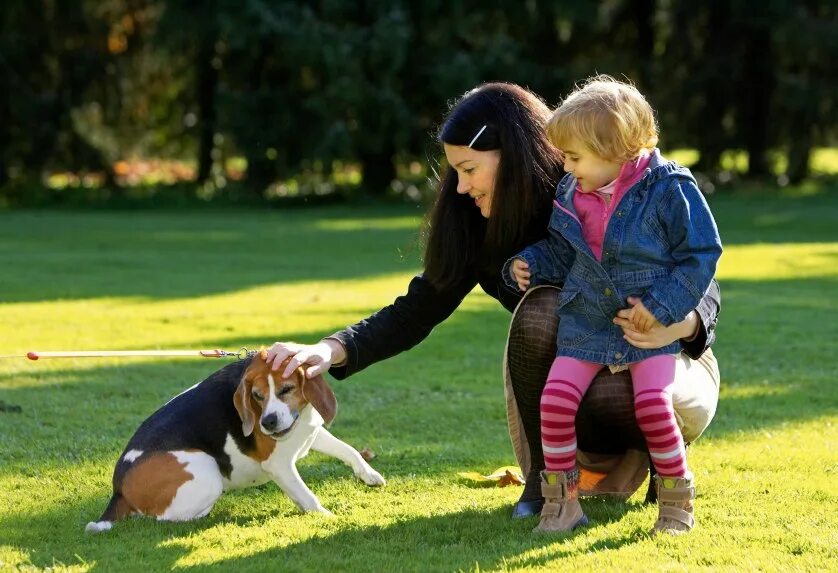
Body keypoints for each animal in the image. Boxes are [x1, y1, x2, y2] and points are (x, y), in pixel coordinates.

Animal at [85, 348, 388, 532]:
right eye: (256, 395)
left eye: (287, 389)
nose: (267, 423)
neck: (298, 419)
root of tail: (118, 488)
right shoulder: (280, 465)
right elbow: (308, 497)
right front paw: (327, 517)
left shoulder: (308, 430)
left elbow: (349, 450)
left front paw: (369, 474)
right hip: (206, 471)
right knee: (160, 517)